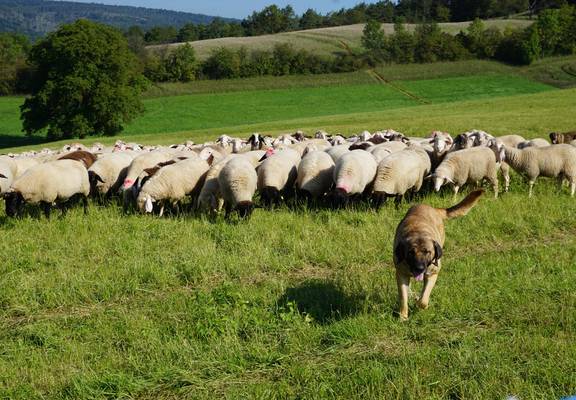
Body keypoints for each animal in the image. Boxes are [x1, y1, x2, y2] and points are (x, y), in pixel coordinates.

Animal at [393, 190, 484, 320]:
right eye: (410, 252)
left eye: (427, 252)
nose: (419, 268)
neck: (418, 232)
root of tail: (434, 209)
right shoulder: (401, 274)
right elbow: (403, 298)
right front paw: (403, 317)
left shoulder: (432, 273)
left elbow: (423, 300)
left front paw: (419, 303)